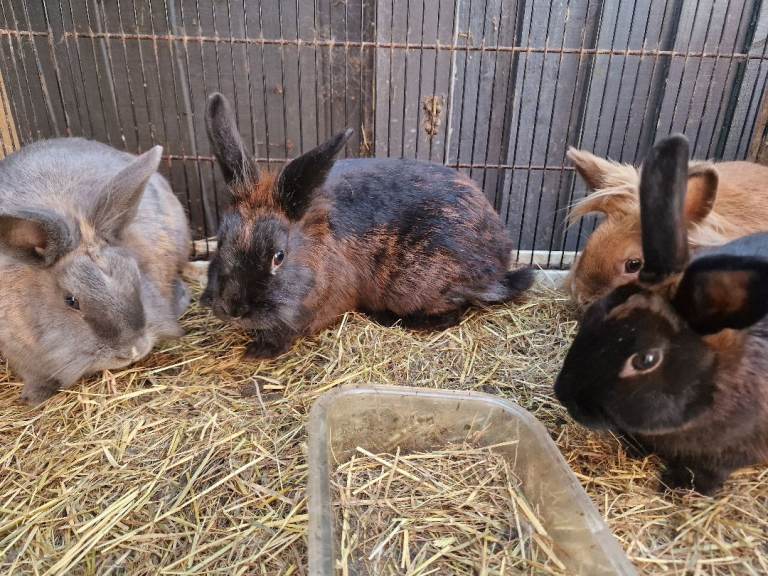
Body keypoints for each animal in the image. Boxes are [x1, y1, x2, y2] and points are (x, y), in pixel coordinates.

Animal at [201, 93, 534, 359]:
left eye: (278, 256)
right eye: (220, 241)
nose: (233, 308)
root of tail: (500, 259)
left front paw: (259, 351)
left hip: (425, 284)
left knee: (453, 313)